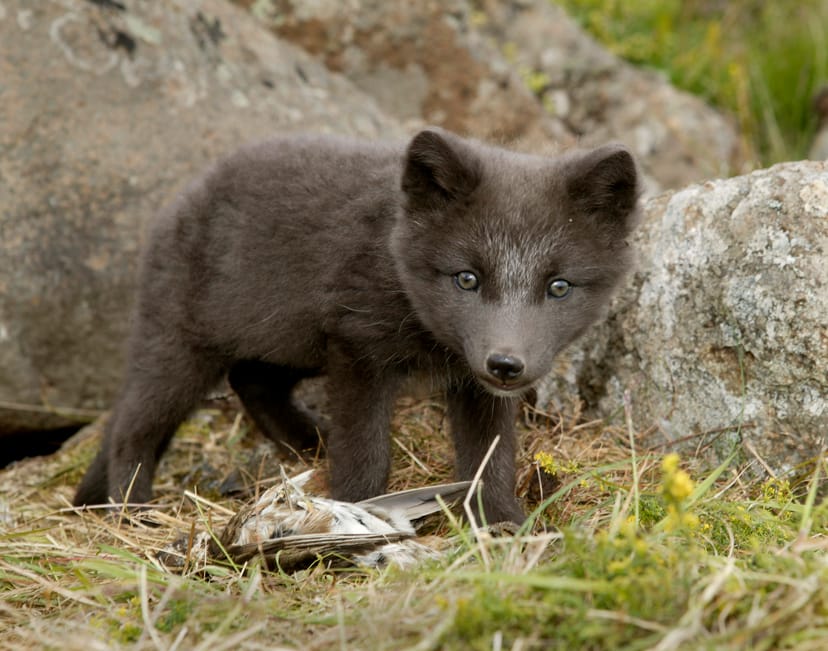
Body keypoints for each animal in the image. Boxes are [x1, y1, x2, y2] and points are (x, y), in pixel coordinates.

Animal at [73, 128, 640, 524]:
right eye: (467, 278)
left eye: (559, 287)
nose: (505, 363)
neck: (395, 263)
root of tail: (179, 203)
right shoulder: (357, 348)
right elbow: (365, 451)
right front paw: (359, 517)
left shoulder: (470, 381)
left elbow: (490, 456)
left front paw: (499, 525)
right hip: (183, 348)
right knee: (131, 427)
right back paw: (130, 511)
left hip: (288, 341)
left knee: (252, 381)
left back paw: (309, 443)